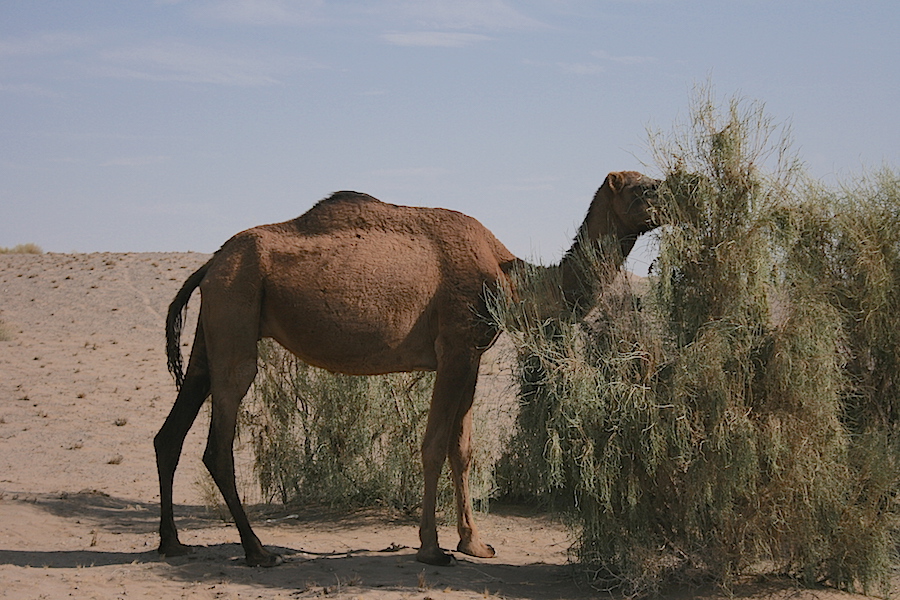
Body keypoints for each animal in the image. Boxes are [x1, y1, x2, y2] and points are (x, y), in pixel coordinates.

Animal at [155, 170, 660, 568]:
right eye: (645, 188)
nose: (673, 195)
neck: (509, 278)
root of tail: (210, 263)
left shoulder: (471, 355)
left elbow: (463, 449)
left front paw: (475, 543)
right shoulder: (455, 347)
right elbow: (434, 446)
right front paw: (432, 549)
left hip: (213, 328)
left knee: (171, 432)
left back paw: (172, 544)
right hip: (235, 313)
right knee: (218, 444)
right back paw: (257, 551)